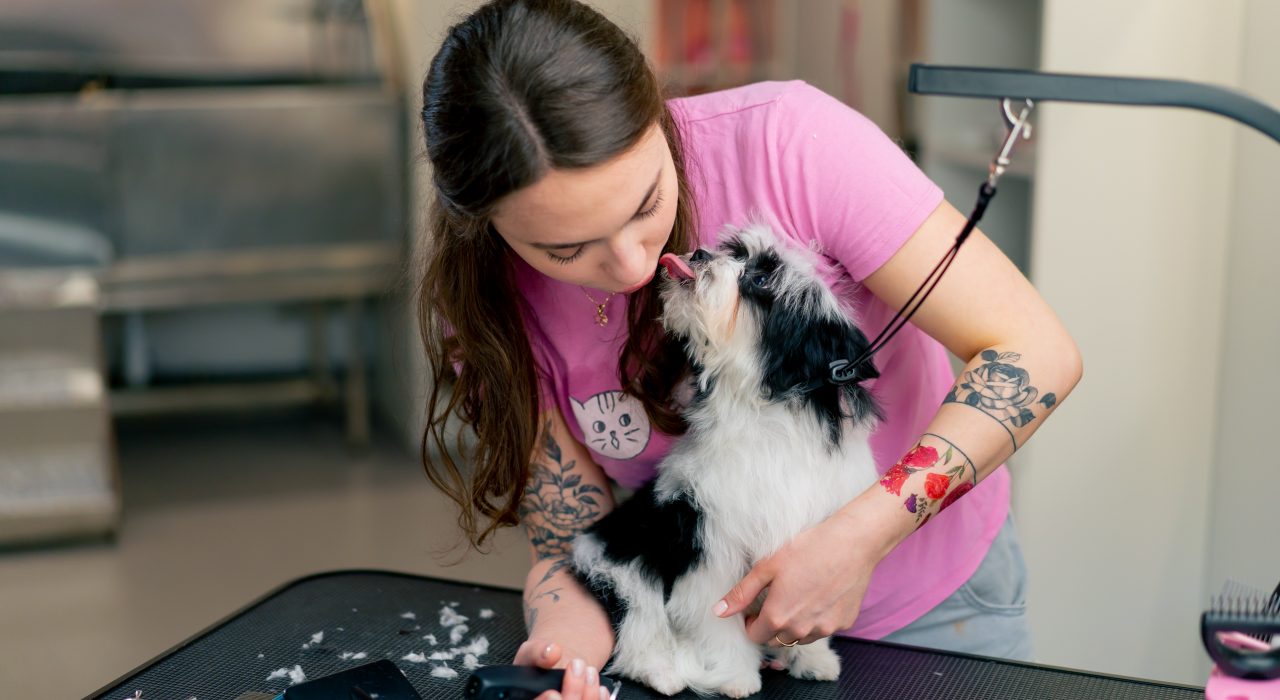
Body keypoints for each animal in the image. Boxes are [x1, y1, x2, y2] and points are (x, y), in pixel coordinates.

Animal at [576, 222, 885, 696]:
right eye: (734, 252)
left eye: (760, 280)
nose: (701, 254)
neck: (767, 419)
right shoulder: (711, 544)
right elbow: (717, 619)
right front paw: (737, 675)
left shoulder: (813, 550)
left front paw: (812, 658)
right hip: (622, 565)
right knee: (639, 628)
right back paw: (662, 671)